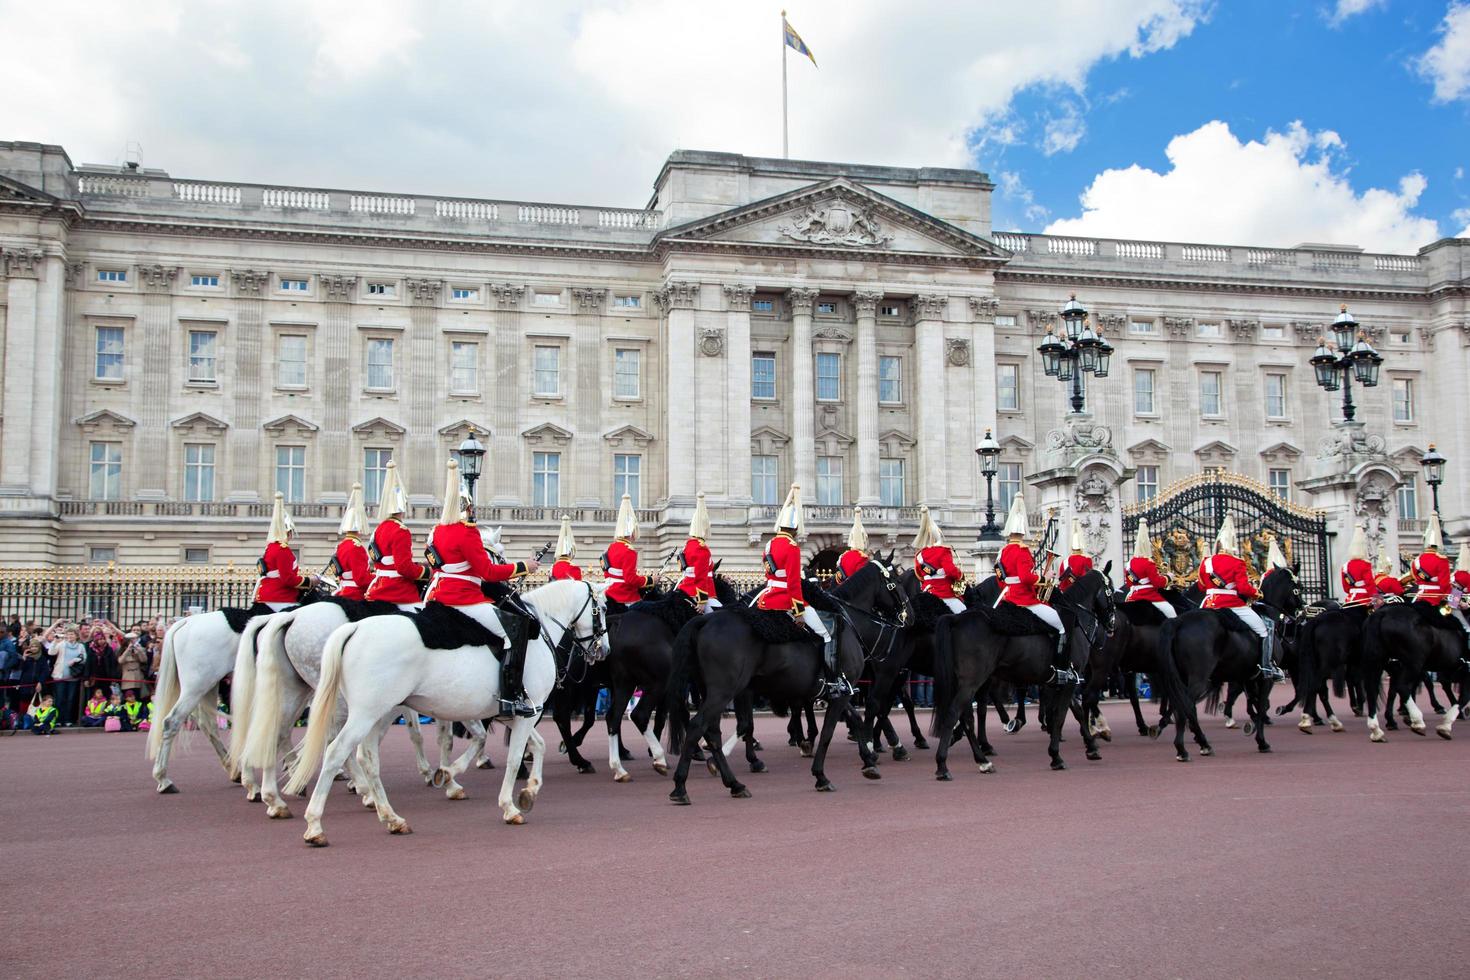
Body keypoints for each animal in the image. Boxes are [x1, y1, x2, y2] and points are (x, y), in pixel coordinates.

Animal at [283, 578, 605, 846]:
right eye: (601, 609)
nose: (602, 650)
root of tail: (356, 627)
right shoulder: (528, 710)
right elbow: (514, 758)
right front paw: (508, 805)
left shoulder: (518, 713)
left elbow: (536, 746)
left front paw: (527, 791)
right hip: (365, 714)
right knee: (335, 751)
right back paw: (314, 824)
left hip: (375, 714)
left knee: (367, 758)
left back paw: (390, 817)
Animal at [667, 558, 905, 805]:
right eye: (897, 580)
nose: (909, 614)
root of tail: (704, 619)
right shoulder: (839, 692)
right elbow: (827, 733)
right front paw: (821, 775)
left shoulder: (838, 689)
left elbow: (855, 719)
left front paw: (868, 760)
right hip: (723, 691)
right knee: (698, 726)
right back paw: (681, 786)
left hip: (713, 691)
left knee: (711, 732)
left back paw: (734, 783)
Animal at [929, 570, 1111, 775]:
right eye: (1110, 591)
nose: (1111, 625)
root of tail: (957, 618)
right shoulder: (1071, 680)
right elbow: (1060, 716)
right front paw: (1056, 756)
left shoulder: (1063, 680)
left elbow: (1076, 711)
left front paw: (1091, 746)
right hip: (972, 682)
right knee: (954, 713)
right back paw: (943, 765)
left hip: (967, 682)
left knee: (967, 717)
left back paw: (982, 760)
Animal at [1152, 564, 1305, 764]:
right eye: (1299, 587)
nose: (1302, 614)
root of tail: (1178, 622)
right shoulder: (1266, 678)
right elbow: (1261, 704)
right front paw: (1262, 741)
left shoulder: (1247, 677)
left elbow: (1253, 702)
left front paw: (1252, 726)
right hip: (1199, 679)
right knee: (1186, 705)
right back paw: (1187, 747)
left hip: (1183, 677)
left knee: (1180, 704)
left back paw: (1194, 741)